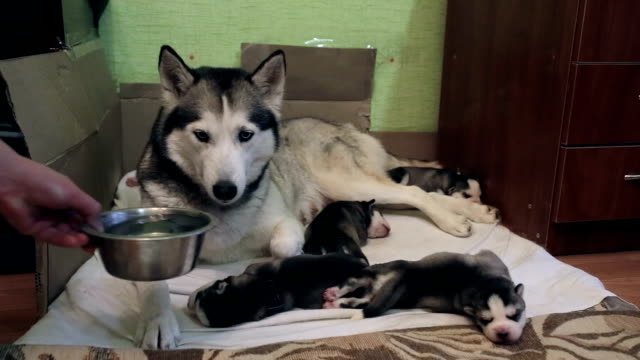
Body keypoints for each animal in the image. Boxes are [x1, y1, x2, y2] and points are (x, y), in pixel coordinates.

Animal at [322, 250, 528, 344]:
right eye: (485, 320)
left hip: (377, 278)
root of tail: (406, 276)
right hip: (385, 273)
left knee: (356, 290)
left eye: (514, 315)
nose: (502, 332)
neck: (482, 282)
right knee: (360, 293)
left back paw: (335, 299)